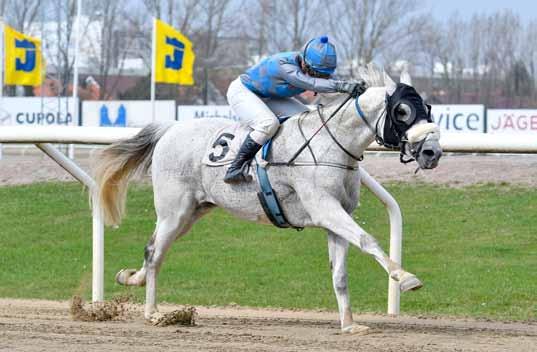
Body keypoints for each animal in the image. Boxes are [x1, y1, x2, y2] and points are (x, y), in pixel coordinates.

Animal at [94, 66, 442, 332]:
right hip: (173, 210)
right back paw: (152, 313)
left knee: (156, 250)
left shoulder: (336, 217)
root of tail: (170, 128)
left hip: (193, 211)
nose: (432, 152)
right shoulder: (325, 208)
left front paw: (349, 324)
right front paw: (406, 277)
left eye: (427, 109)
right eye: (402, 111)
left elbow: (340, 274)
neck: (333, 146)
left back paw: (132, 279)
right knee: (154, 252)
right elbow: (368, 240)